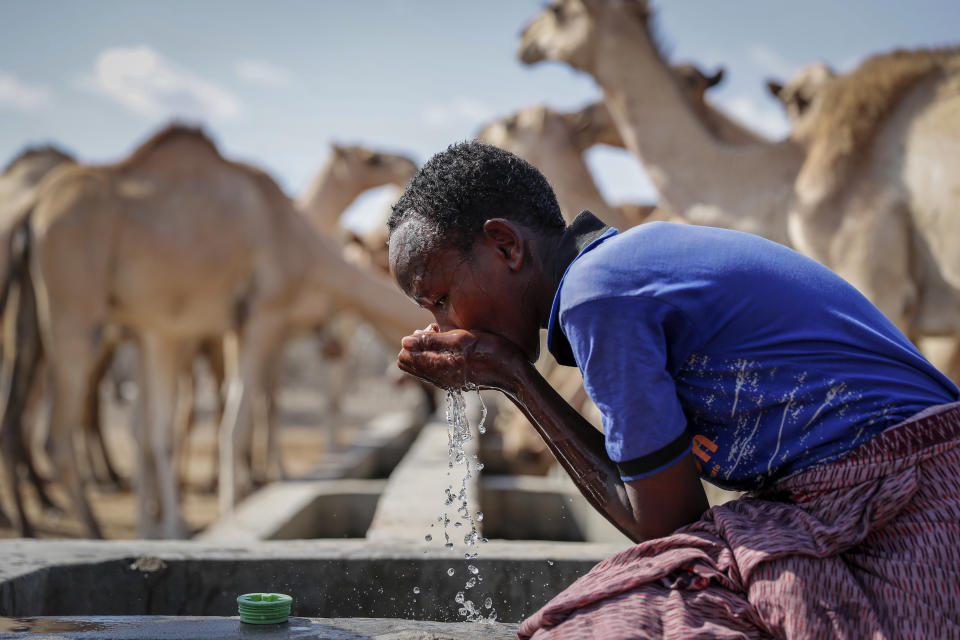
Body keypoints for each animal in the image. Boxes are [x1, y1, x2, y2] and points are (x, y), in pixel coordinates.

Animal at [5, 124, 430, 536]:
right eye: (370, 157)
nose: (408, 162)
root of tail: (31, 212)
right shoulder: (258, 319)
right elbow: (238, 421)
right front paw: (232, 508)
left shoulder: (180, 329)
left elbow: (174, 427)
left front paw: (176, 522)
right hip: (74, 316)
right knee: (56, 435)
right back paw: (91, 529)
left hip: (40, 324)